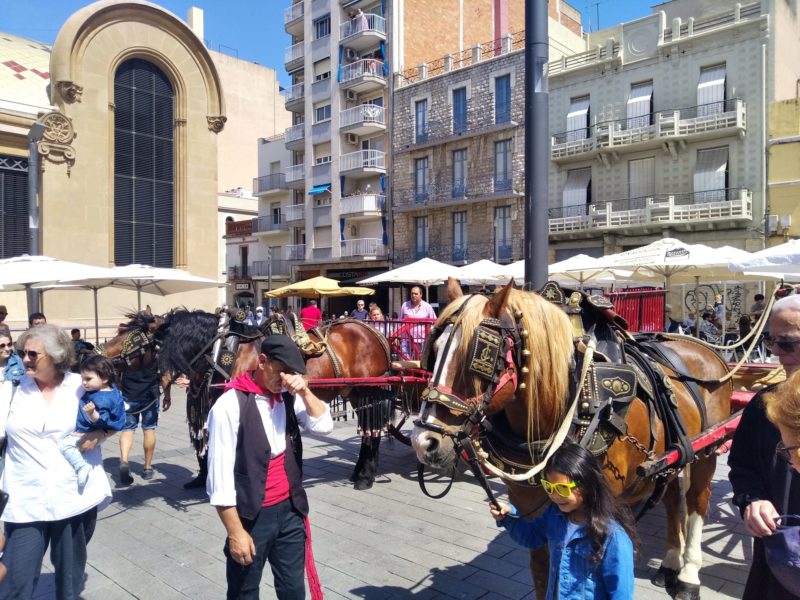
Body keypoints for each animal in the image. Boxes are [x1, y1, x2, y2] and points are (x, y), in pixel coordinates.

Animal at [153, 312, 394, 490]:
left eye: (157, 346)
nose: (161, 383)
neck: (225, 349)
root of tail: (374, 332)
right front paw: (203, 477)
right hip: (356, 393)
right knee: (368, 431)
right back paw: (360, 472)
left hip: (368, 390)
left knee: (371, 432)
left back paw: (365, 477)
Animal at [412, 282, 732, 600]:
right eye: (435, 350)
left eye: (479, 354)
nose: (424, 441)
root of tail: (705, 348)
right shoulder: (533, 510)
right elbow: (543, 572)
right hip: (671, 456)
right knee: (671, 497)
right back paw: (670, 563)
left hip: (707, 453)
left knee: (697, 501)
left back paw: (688, 574)